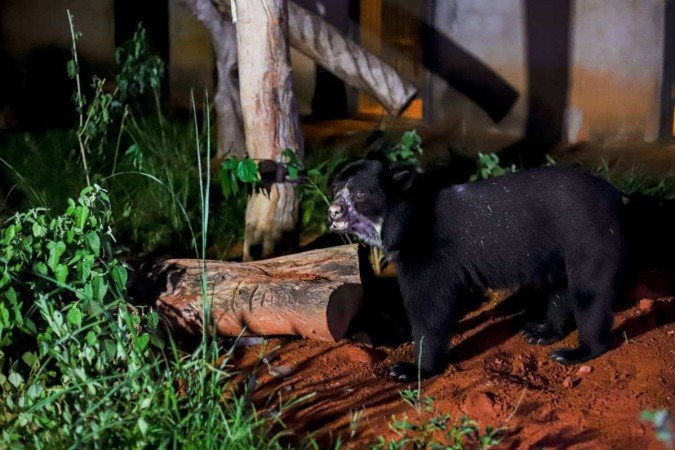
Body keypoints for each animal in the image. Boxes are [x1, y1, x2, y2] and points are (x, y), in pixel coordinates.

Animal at [328, 156, 626, 382]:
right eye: (335, 188)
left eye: (360, 193)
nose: (333, 211)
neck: (405, 219)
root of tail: (615, 195)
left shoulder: (429, 257)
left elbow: (429, 310)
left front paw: (411, 370)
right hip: (559, 252)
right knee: (561, 289)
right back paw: (541, 332)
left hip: (589, 237)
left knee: (589, 293)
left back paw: (576, 352)